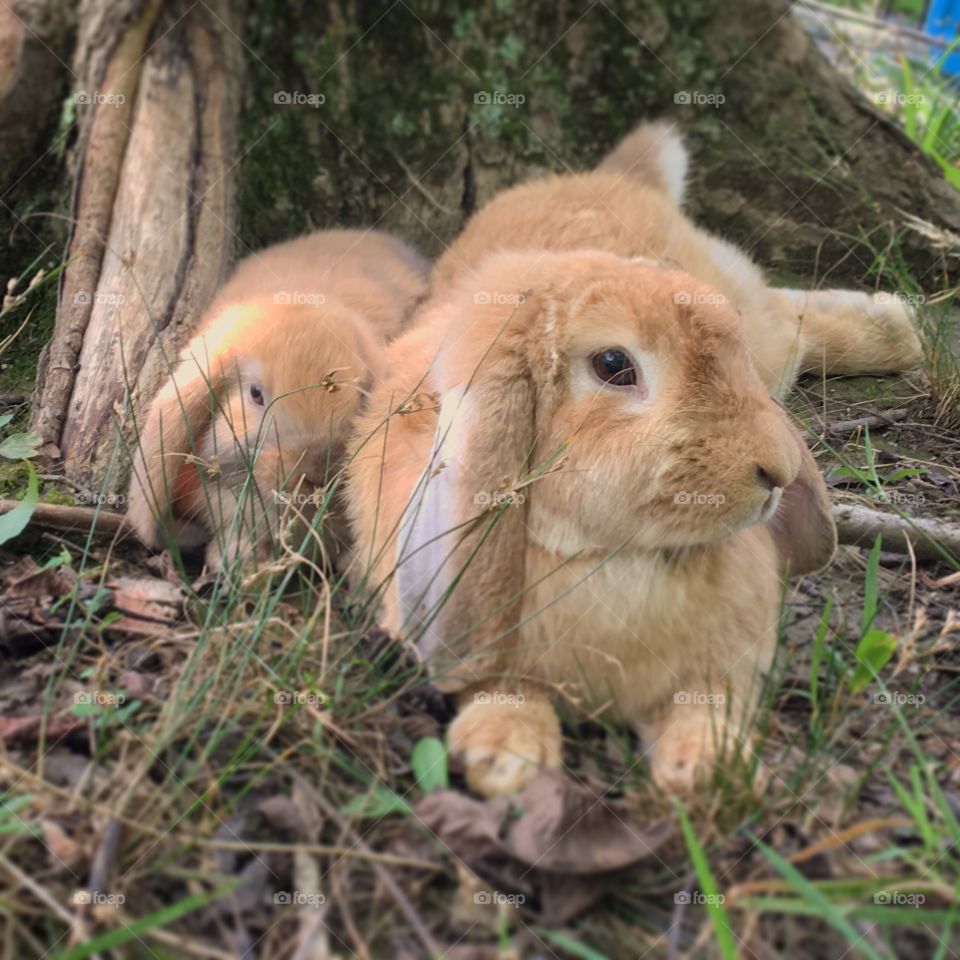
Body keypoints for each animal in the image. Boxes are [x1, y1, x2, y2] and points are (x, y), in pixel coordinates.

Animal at [344, 246, 832, 796]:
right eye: (613, 365)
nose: (777, 469)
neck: (609, 556)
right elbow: (501, 688)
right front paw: (506, 758)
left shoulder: (715, 673)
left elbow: (703, 707)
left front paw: (712, 766)